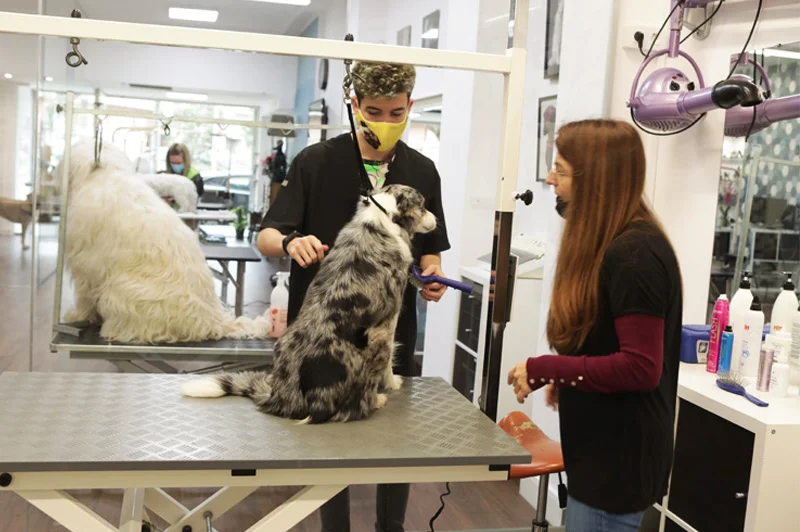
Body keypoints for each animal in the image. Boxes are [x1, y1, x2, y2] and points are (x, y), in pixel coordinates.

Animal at [58, 139, 272, 342]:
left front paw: (78, 315)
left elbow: (85, 296)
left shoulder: (86, 265)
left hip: (123, 291)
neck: (106, 172)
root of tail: (213, 320)